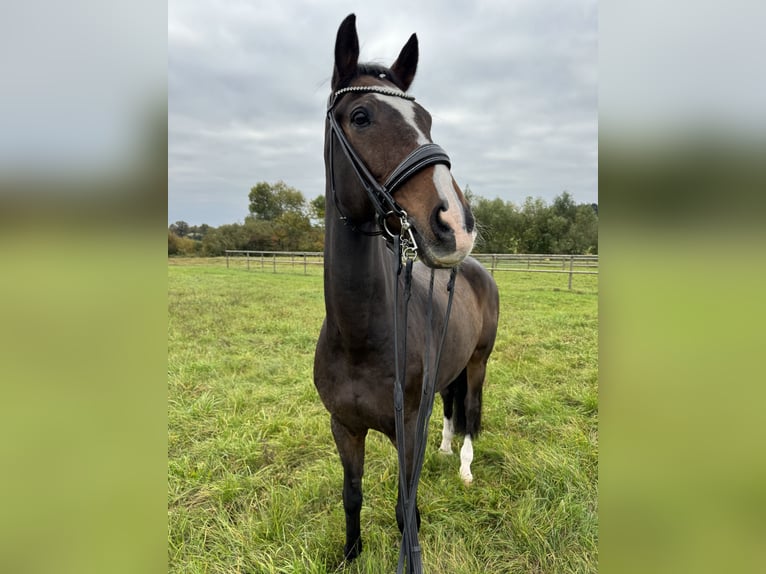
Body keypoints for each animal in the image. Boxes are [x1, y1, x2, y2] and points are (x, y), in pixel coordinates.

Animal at [313, 14, 500, 568]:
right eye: (361, 116)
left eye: (427, 119)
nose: (456, 224)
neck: (360, 336)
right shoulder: (344, 426)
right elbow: (352, 495)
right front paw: (351, 554)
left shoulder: (406, 427)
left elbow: (405, 508)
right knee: (452, 406)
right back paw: (445, 448)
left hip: (479, 361)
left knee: (472, 410)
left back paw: (463, 465)